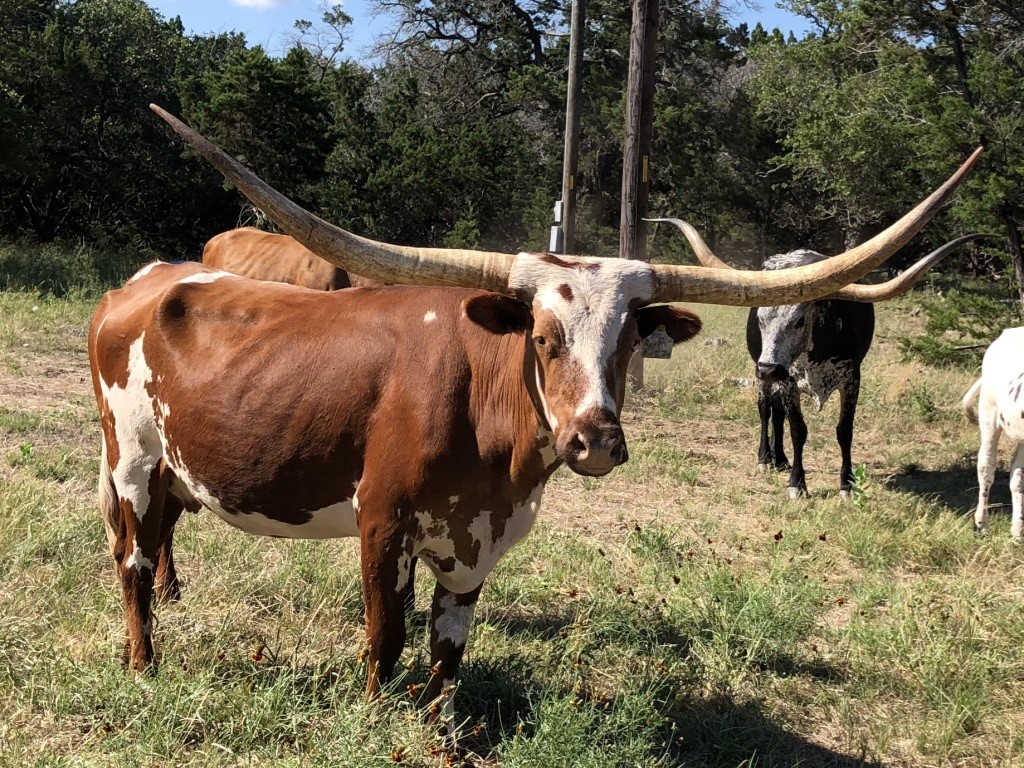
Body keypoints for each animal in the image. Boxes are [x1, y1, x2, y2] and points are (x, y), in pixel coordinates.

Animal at [649, 218, 987, 499]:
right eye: (759, 318)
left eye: (799, 320)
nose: (768, 368)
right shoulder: (789, 380)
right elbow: (798, 429)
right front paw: (797, 484)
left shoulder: (852, 378)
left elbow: (843, 430)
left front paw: (847, 484)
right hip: (765, 377)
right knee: (766, 410)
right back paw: (766, 458)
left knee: (777, 414)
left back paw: (780, 459)